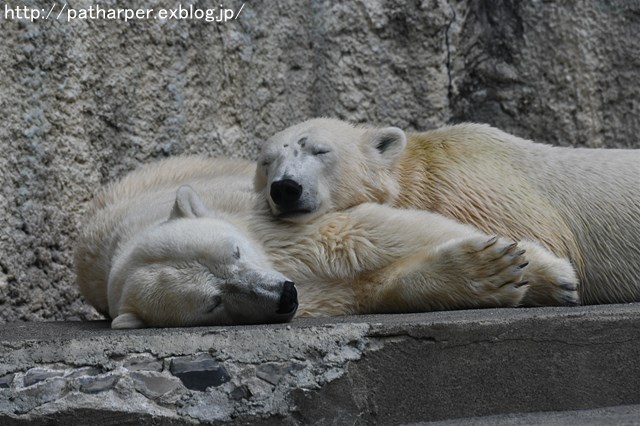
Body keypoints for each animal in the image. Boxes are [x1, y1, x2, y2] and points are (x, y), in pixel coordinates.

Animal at [76, 155, 580, 328]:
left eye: (234, 252)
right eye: (212, 302)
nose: (285, 295)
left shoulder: (263, 218)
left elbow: (367, 232)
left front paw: (547, 273)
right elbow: (364, 290)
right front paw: (491, 272)